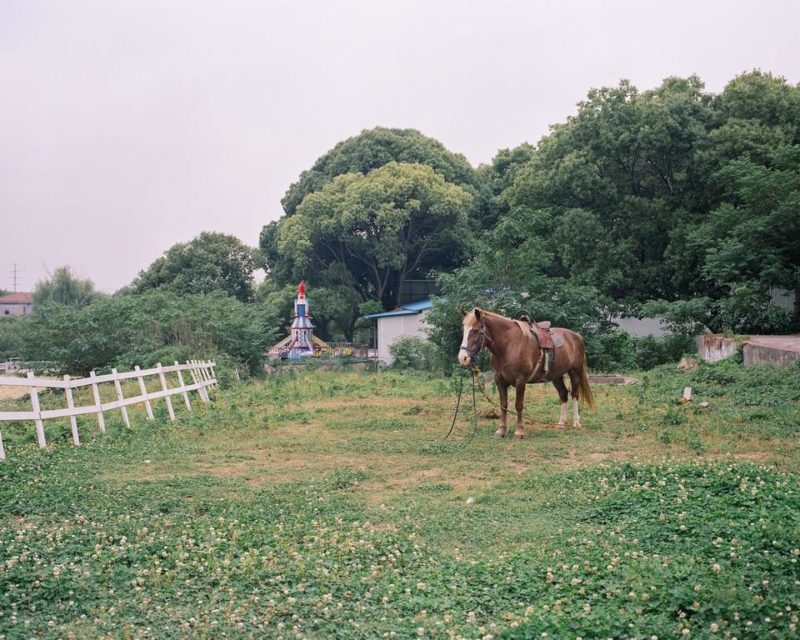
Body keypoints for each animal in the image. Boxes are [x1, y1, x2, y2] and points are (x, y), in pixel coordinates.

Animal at [456, 308, 592, 438]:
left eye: (475, 330)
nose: (462, 358)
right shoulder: (499, 380)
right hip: (556, 376)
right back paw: (561, 423)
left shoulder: (520, 381)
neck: (509, 345)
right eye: (463, 330)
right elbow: (503, 405)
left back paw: (576, 423)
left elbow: (518, 405)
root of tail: (576, 336)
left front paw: (519, 431)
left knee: (575, 394)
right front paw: (501, 431)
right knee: (563, 394)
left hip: (575, 372)